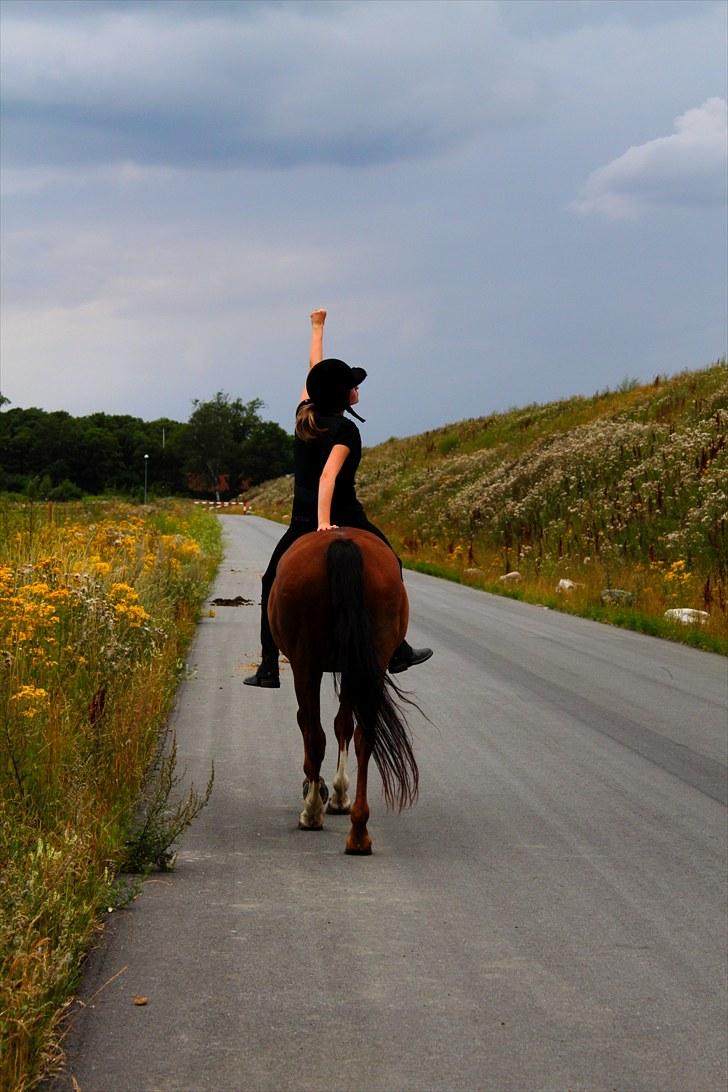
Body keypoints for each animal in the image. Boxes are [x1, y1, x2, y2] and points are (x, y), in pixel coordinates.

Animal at [267, 528, 419, 851]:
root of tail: (343, 543)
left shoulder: (307, 667)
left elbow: (311, 725)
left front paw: (321, 790)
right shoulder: (352, 667)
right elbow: (344, 726)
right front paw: (338, 794)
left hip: (307, 662)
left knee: (315, 735)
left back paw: (312, 813)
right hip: (371, 659)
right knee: (365, 736)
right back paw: (359, 832)